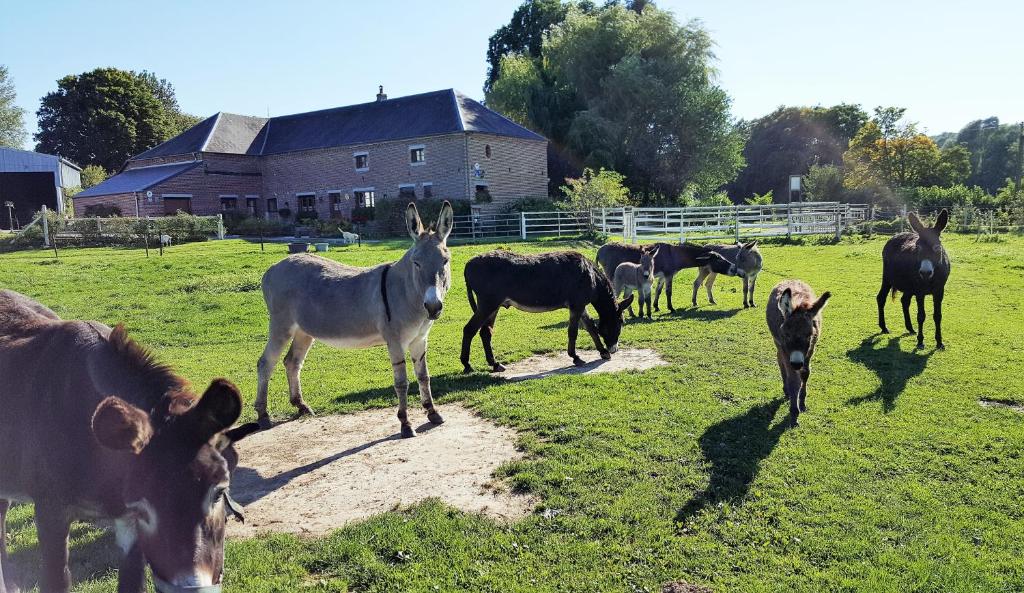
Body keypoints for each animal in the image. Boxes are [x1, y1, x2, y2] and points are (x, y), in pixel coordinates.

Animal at [0, 289, 258, 593]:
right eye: (144, 508)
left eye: (219, 492)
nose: (191, 585)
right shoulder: (51, 511)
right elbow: (56, 579)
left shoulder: (126, 522)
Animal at [256, 202, 454, 438]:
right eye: (416, 263)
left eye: (445, 261)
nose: (433, 307)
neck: (405, 291)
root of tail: (272, 268)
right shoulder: (395, 341)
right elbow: (402, 383)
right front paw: (405, 424)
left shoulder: (420, 340)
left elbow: (424, 377)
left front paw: (432, 413)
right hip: (281, 326)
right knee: (266, 363)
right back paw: (263, 415)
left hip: (304, 331)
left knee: (292, 362)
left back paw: (301, 406)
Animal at [461, 250, 634, 372]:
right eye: (621, 322)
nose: (614, 349)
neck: (591, 277)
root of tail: (468, 263)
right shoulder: (577, 305)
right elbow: (573, 331)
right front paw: (576, 357)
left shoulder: (580, 306)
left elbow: (591, 327)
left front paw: (603, 352)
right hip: (488, 303)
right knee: (469, 329)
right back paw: (467, 365)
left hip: (493, 306)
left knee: (485, 332)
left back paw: (495, 364)